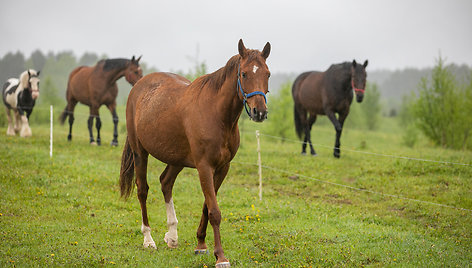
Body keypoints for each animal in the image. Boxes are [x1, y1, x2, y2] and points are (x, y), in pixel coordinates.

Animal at [120, 38, 272, 266]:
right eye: (244, 74)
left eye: (267, 74)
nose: (259, 112)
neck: (216, 114)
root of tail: (139, 85)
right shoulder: (204, 167)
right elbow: (214, 211)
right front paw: (221, 257)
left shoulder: (222, 168)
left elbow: (206, 207)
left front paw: (201, 245)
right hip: (140, 153)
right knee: (142, 190)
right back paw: (148, 239)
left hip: (176, 159)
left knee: (166, 183)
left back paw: (172, 236)